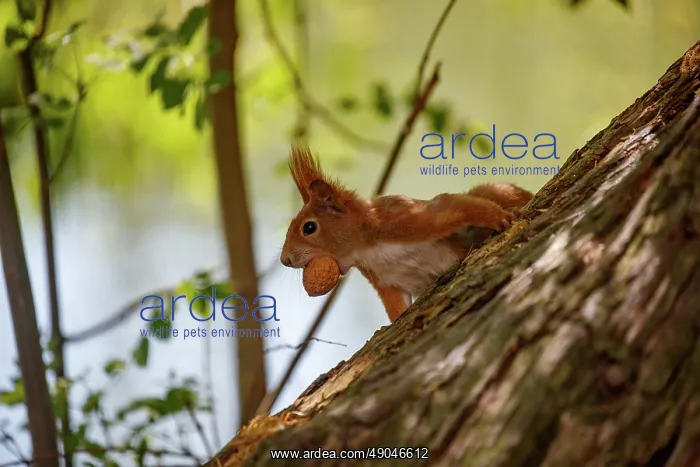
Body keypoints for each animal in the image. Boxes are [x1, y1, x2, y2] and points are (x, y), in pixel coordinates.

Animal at [280, 145, 534, 322]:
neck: (367, 248)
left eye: (309, 228)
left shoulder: (407, 220)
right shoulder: (386, 282)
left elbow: (456, 207)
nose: (285, 260)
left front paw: (499, 218)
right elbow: (397, 307)